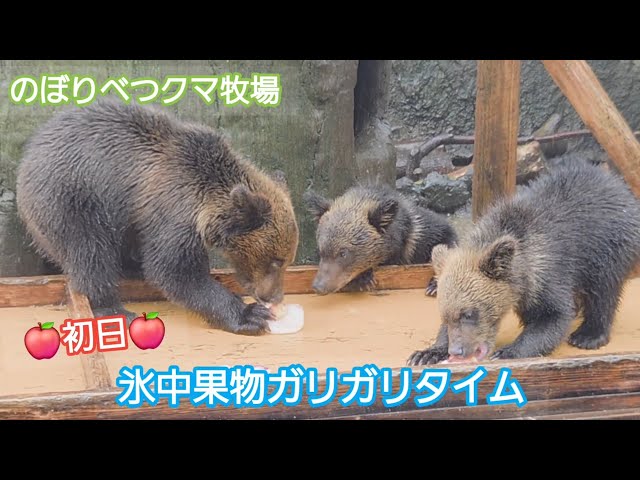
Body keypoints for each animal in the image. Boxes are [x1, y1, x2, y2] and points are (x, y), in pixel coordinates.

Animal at [16, 99, 299, 336]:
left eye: (286, 260)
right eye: (276, 260)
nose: (273, 297)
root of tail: (26, 159)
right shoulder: (173, 212)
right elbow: (175, 271)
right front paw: (249, 314)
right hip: (71, 198)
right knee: (89, 252)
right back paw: (115, 310)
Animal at [303, 183, 458, 296]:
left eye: (343, 253)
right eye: (320, 250)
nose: (318, 287)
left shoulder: (424, 234)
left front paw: (434, 284)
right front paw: (363, 278)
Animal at [407, 157, 640, 366]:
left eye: (469, 313)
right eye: (446, 315)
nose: (457, 350)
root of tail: (617, 185)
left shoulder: (548, 271)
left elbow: (553, 316)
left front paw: (507, 351)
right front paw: (426, 353)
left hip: (607, 245)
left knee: (604, 289)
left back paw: (588, 335)